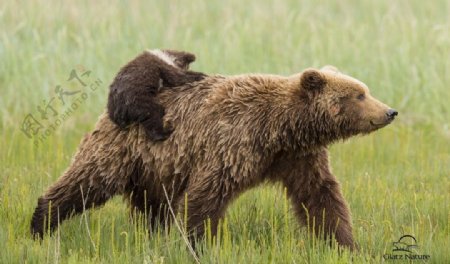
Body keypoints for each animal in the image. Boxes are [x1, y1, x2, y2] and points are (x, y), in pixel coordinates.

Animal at [30, 66, 398, 250]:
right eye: (359, 94)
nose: (390, 111)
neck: (281, 129)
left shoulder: (297, 157)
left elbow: (320, 196)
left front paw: (343, 243)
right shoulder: (233, 143)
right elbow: (206, 197)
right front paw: (198, 244)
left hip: (157, 167)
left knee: (153, 207)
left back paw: (152, 235)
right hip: (123, 149)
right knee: (87, 181)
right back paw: (41, 224)